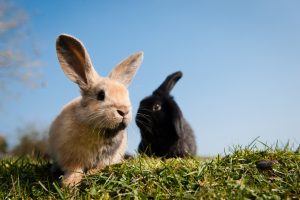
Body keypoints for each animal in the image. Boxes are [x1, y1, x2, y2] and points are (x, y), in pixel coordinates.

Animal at [48, 34, 144, 186]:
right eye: (101, 95)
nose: (123, 111)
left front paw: (92, 173)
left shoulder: (107, 158)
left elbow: (100, 166)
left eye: (127, 95)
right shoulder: (71, 157)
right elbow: (74, 169)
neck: (100, 130)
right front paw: (69, 183)